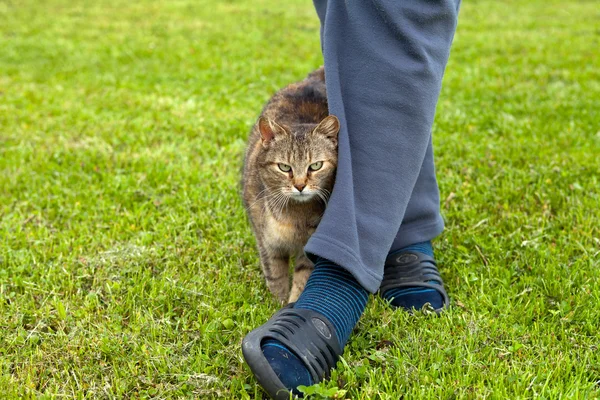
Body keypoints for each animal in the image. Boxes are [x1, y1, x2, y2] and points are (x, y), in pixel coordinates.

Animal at [241, 68, 340, 304]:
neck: (294, 218)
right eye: (284, 167)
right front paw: (276, 303)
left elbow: (303, 277)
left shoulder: (310, 249)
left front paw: (292, 302)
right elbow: (275, 275)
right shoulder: (267, 243)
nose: (300, 185)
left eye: (315, 165)